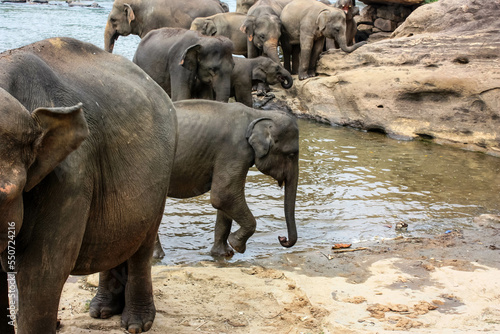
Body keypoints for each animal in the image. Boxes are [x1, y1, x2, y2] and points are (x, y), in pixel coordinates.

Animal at [0, 37, 178, 334]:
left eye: (5, 196)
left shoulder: (69, 177)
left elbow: (41, 273)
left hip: (162, 175)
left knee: (143, 245)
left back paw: (136, 323)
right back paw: (103, 311)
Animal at [152, 99, 298, 258]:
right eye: (291, 154)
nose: (282, 238)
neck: (257, 114)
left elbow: (225, 202)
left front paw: (223, 254)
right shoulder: (235, 150)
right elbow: (223, 195)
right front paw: (237, 245)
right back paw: (157, 256)